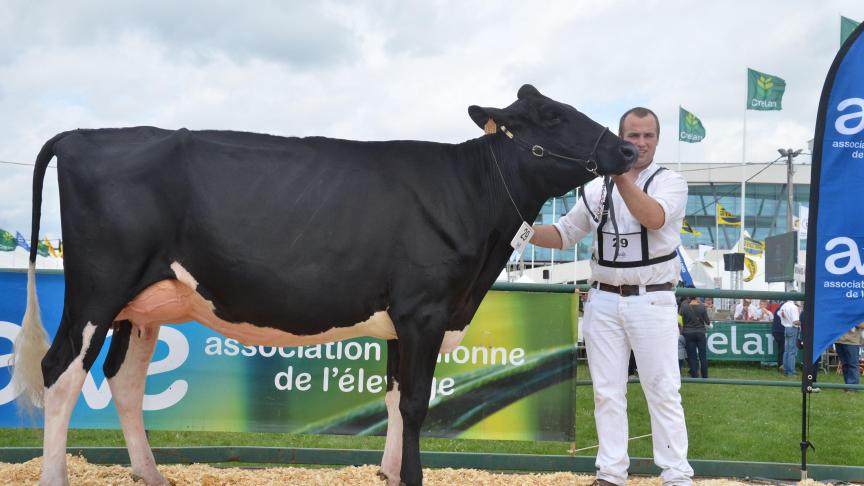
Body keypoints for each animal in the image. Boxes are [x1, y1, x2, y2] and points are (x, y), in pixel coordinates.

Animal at [11, 85, 636, 484]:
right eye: (551, 115)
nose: (627, 148)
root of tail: (80, 136)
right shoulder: (425, 310)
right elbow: (416, 402)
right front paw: (410, 477)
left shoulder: (403, 319)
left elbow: (393, 397)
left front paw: (386, 472)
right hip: (97, 288)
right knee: (60, 372)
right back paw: (55, 477)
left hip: (143, 306)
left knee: (124, 379)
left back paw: (151, 474)